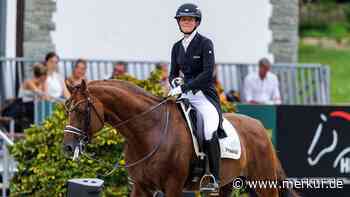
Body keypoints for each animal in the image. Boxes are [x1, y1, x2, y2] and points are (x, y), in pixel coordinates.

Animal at [62, 80, 296, 197]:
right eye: (67, 108)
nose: (68, 147)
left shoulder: (173, 186)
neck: (149, 131)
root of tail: (259, 126)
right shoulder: (141, 187)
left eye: (81, 111)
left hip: (264, 182)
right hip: (226, 184)